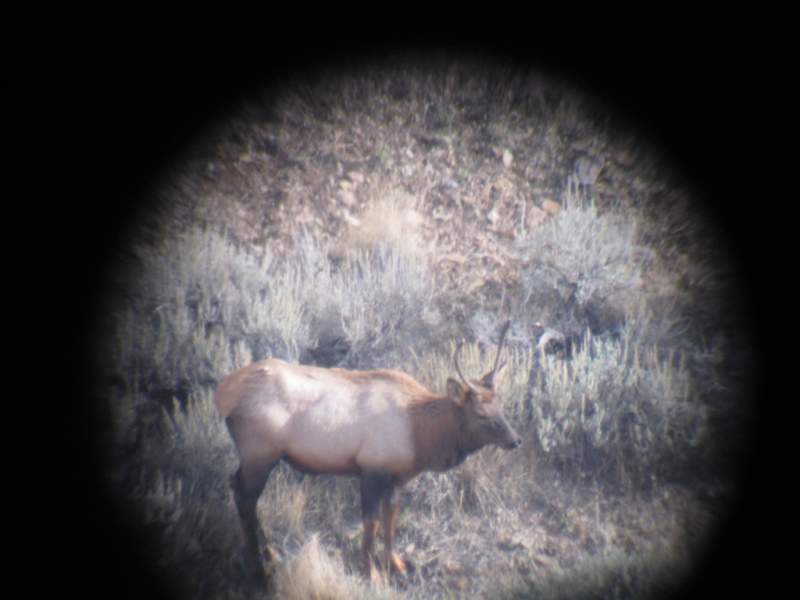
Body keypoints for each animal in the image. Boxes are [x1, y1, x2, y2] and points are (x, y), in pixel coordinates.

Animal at [216, 322, 520, 584]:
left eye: (502, 406)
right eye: (480, 414)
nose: (515, 440)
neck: (420, 436)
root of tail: (221, 394)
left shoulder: (396, 476)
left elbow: (390, 517)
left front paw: (396, 564)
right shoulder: (371, 468)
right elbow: (370, 522)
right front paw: (371, 573)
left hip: (256, 457)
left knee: (236, 487)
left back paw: (269, 554)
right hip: (260, 453)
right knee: (246, 498)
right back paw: (260, 566)